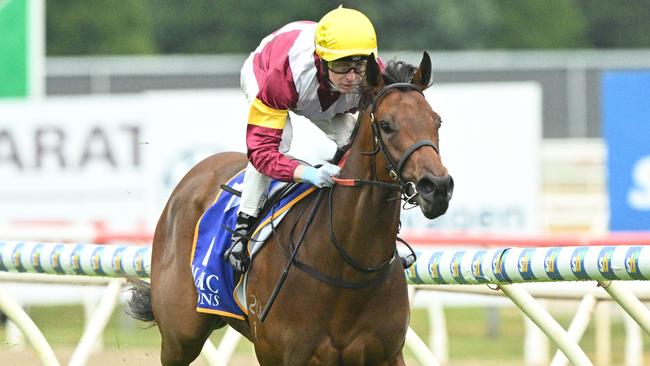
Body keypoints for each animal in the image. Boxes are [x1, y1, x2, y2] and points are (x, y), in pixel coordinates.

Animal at [126, 52, 450, 366]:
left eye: (436, 121)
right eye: (386, 125)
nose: (437, 187)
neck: (349, 267)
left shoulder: (387, 355)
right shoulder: (278, 354)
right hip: (180, 338)